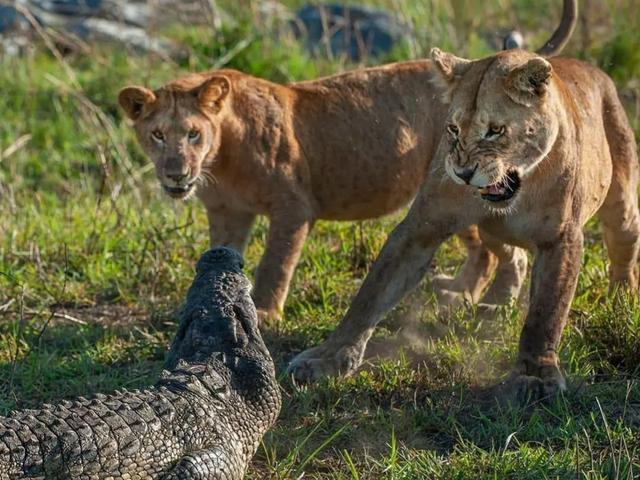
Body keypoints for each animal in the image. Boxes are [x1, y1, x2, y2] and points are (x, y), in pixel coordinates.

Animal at [119, 1, 576, 322]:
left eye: (193, 134)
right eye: (157, 135)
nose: (176, 173)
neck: (220, 164)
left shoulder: (293, 207)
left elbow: (274, 264)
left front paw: (264, 313)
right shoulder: (227, 214)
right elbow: (221, 258)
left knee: (496, 250)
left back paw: (475, 299)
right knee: (485, 249)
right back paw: (460, 290)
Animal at [292, 11, 640, 404]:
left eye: (495, 131)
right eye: (453, 129)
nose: (462, 173)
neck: (520, 186)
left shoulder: (561, 238)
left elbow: (546, 312)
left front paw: (534, 376)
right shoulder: (420, 229)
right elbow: (372, 294)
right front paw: (328, 356)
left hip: (621, 197)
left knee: (624, 247)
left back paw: (622, 300)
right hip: (489, 228)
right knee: (513, 257)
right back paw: (495, 305)